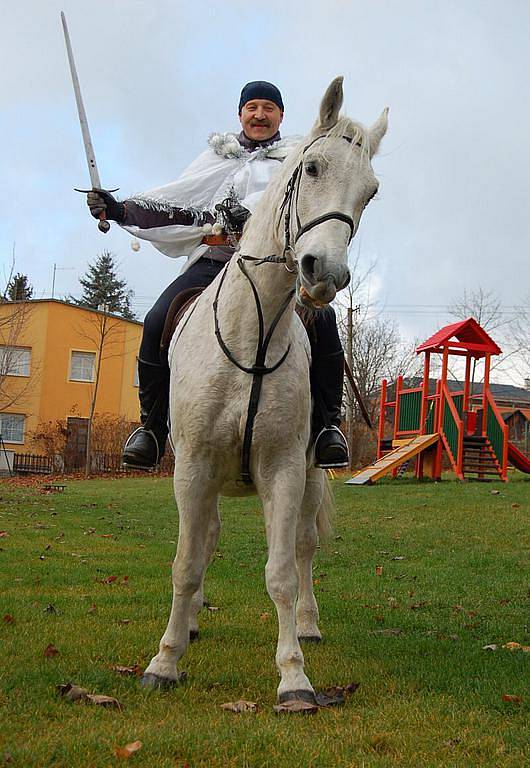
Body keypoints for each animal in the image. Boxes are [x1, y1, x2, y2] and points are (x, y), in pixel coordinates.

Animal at [142, 75, 386, 704]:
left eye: (371, 192)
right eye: (313, 168)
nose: (324, 272)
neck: (249, 332)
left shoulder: (282, 468)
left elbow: (280, 572)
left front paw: (294, 676)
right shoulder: (193, 467)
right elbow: (186, 563)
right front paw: (165, 660)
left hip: (309, 477)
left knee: (301, 551)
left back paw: (308, 623)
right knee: (206, 540)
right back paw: (191, 623)